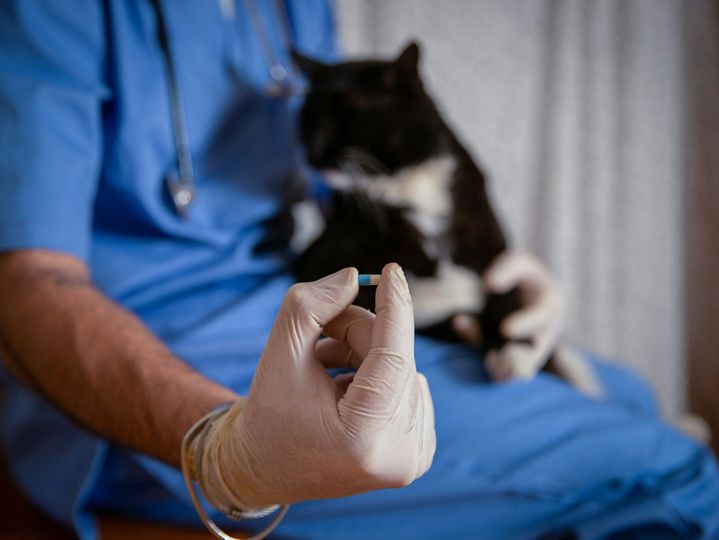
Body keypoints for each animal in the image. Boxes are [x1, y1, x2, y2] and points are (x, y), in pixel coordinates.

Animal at [292, 44, 600, 394]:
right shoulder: (326, 251)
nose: (311, 154)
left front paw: (514, 350)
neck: (408, 187)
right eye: (305, 121)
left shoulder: (490, 242)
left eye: (339, 118)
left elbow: (504, 293)